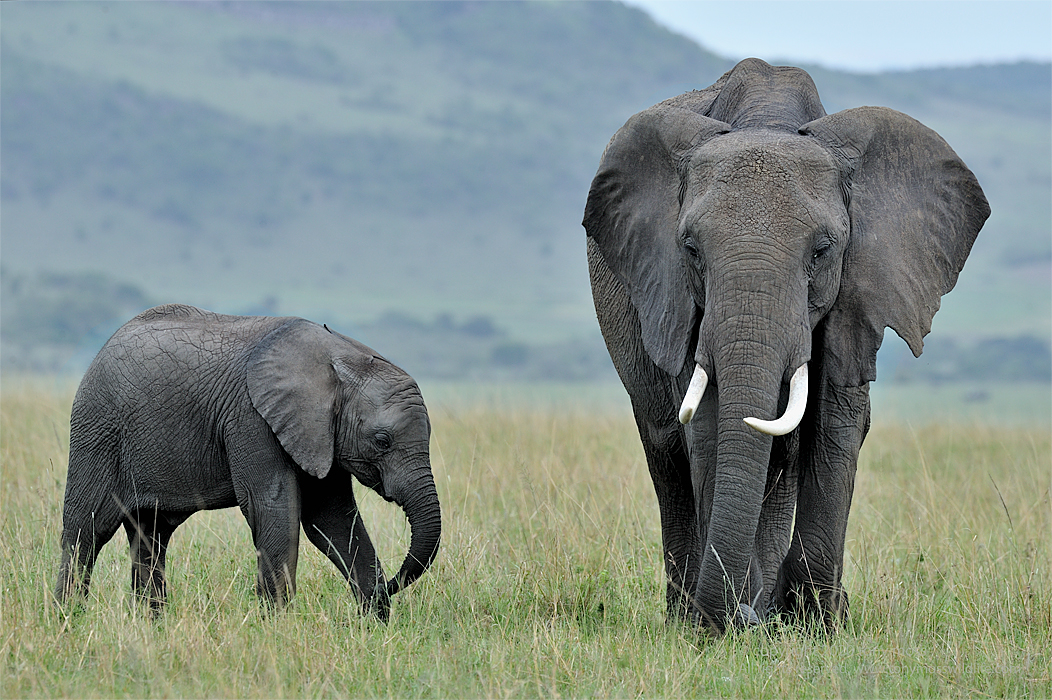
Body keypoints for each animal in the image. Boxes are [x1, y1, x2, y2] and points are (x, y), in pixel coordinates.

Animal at [54, 303, 439, 618]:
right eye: (382, 441)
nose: (387, 587)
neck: (340, 358)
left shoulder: (319, 435)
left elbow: (332, 519)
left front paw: (375, 624)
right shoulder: (251, 420)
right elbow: (272, 509)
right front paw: (278, 627)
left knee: (151, 535)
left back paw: (151, 626)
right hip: (98, 431)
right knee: (87, 529)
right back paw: (69, 619)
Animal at [584, 57, 984, 631]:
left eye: (822, 250)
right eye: (691, 249)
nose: (747, 616)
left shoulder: (857, 290)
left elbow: (835, 425)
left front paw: (817, 622)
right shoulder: (679, 296)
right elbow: (709, 425)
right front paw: (727, 623)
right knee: (665, 450)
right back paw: (689, 615)